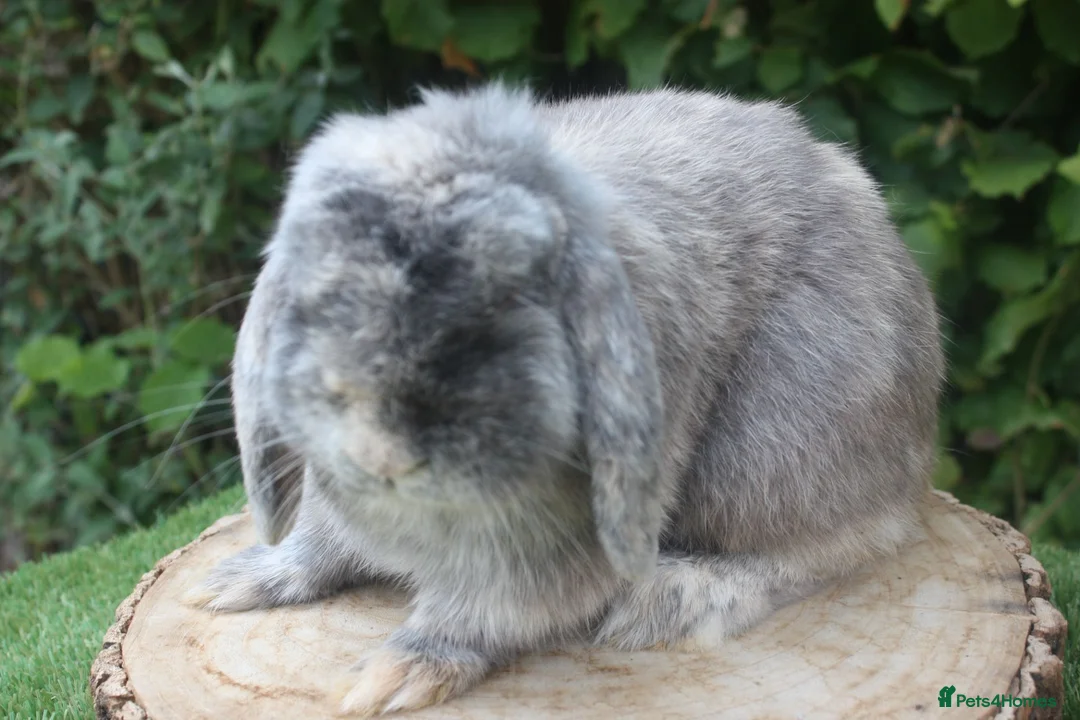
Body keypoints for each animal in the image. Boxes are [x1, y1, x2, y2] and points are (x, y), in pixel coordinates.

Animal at [183, 83, 944, 716]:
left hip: (773, 446)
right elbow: (317, 545)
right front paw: (231, 584)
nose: (382, 450)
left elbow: (485, 609)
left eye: (500, 309)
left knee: (832, 546)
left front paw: (394, 677)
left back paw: (667, 603)